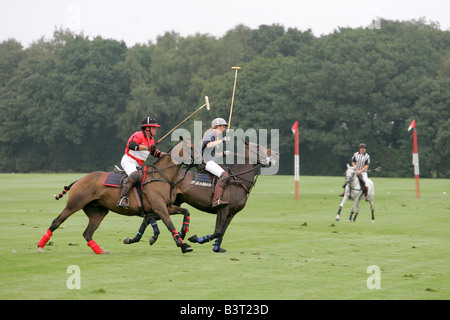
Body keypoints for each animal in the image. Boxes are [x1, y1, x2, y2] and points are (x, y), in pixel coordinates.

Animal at [36, 139, 201, 254]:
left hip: (98, 212)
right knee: (56, 222)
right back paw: (40, 247)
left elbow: (186, 211)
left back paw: (101, 251)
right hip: (74, 204)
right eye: (191, 148)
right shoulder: (159, 208)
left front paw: (183, 233)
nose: (202, 163)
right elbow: (170, 224)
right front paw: (183, 245)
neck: (162, 175)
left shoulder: (166, 206)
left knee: (87, 233)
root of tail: (79, 180)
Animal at [123, 140, 278, 252]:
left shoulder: (232, 213)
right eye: (257, 146)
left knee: (149, 218)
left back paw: (136, 239)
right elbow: (217, 231)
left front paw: (217, 248)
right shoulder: (223, 208)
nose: (274, 155)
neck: (237, 181)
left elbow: (221, 232)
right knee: (150, 216)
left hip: (172, 203)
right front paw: (195, 238)